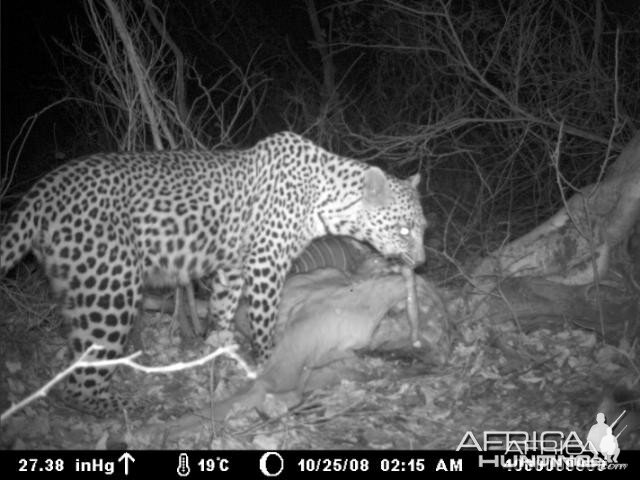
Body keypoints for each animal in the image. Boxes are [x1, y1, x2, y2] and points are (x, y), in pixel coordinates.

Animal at [2, 129, 430, 414]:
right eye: (403, 229)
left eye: (423, 228)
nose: (421, 262)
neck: (325, 198)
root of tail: (42, 190)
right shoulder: (266, 264)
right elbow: (264, 321)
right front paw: (264, 360)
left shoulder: (233, 268)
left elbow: (223, 313)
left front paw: (217, 354)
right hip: (111, 287)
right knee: (84, 375)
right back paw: (122, 407)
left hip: (79, 284)